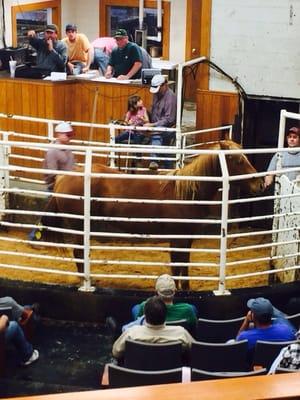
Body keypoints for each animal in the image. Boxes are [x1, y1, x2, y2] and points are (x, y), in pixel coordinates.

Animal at [38, 141, 264, 290]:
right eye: (237, 160)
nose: (260, 183)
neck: (185, 192)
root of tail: (62, 178)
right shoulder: (177, 239)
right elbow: (178, 264)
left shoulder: (187, 237)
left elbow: (184, 264)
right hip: (78, 226)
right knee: (79, 253)